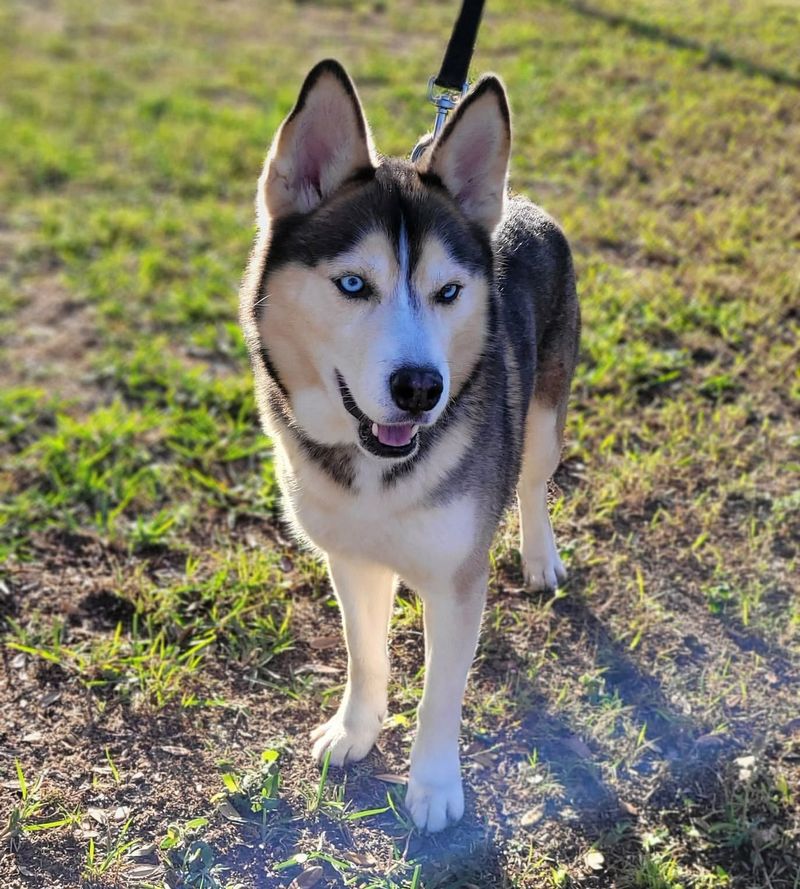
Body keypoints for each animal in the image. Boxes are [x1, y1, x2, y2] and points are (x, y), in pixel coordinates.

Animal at [239, 59, 580, 828]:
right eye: (353, 284)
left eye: (448, 291)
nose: (422, 388)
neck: (376, 472)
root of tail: (523, 203)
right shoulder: (351, 558)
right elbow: (366, 654)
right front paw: (355, 729)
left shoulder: (456, 579)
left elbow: (440, 694)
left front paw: (433, 787)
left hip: (545, 415)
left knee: (532, 479)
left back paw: (539, 556)